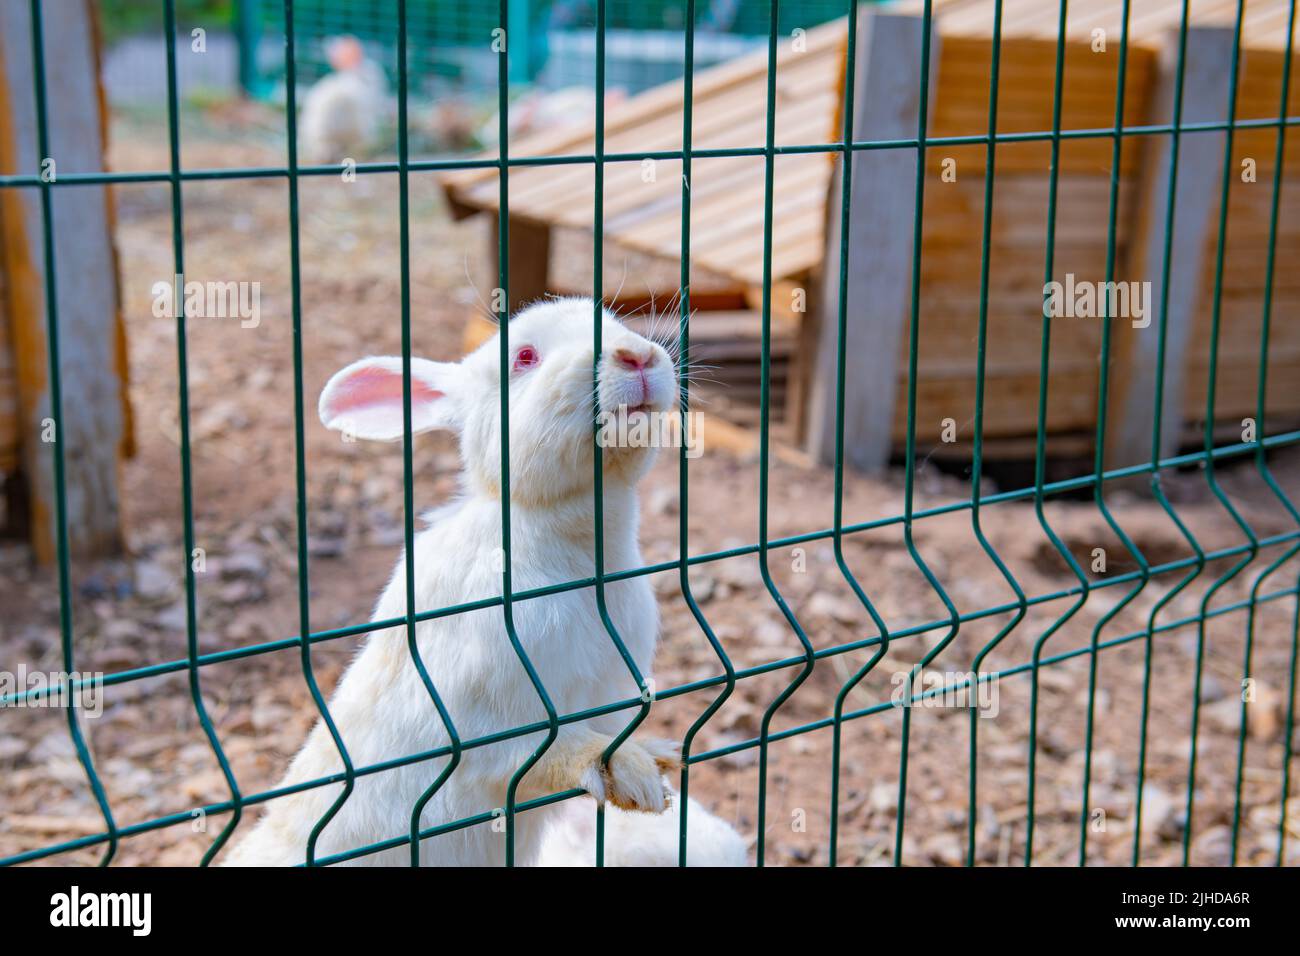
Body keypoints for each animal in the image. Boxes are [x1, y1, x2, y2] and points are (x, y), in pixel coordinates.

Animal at [225, 298, 690, 866]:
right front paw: (631, 774)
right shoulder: (482, 730)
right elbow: (549, 751)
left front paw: (656, 755)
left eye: (614, 320)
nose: (637, 356)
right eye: (525, 357)